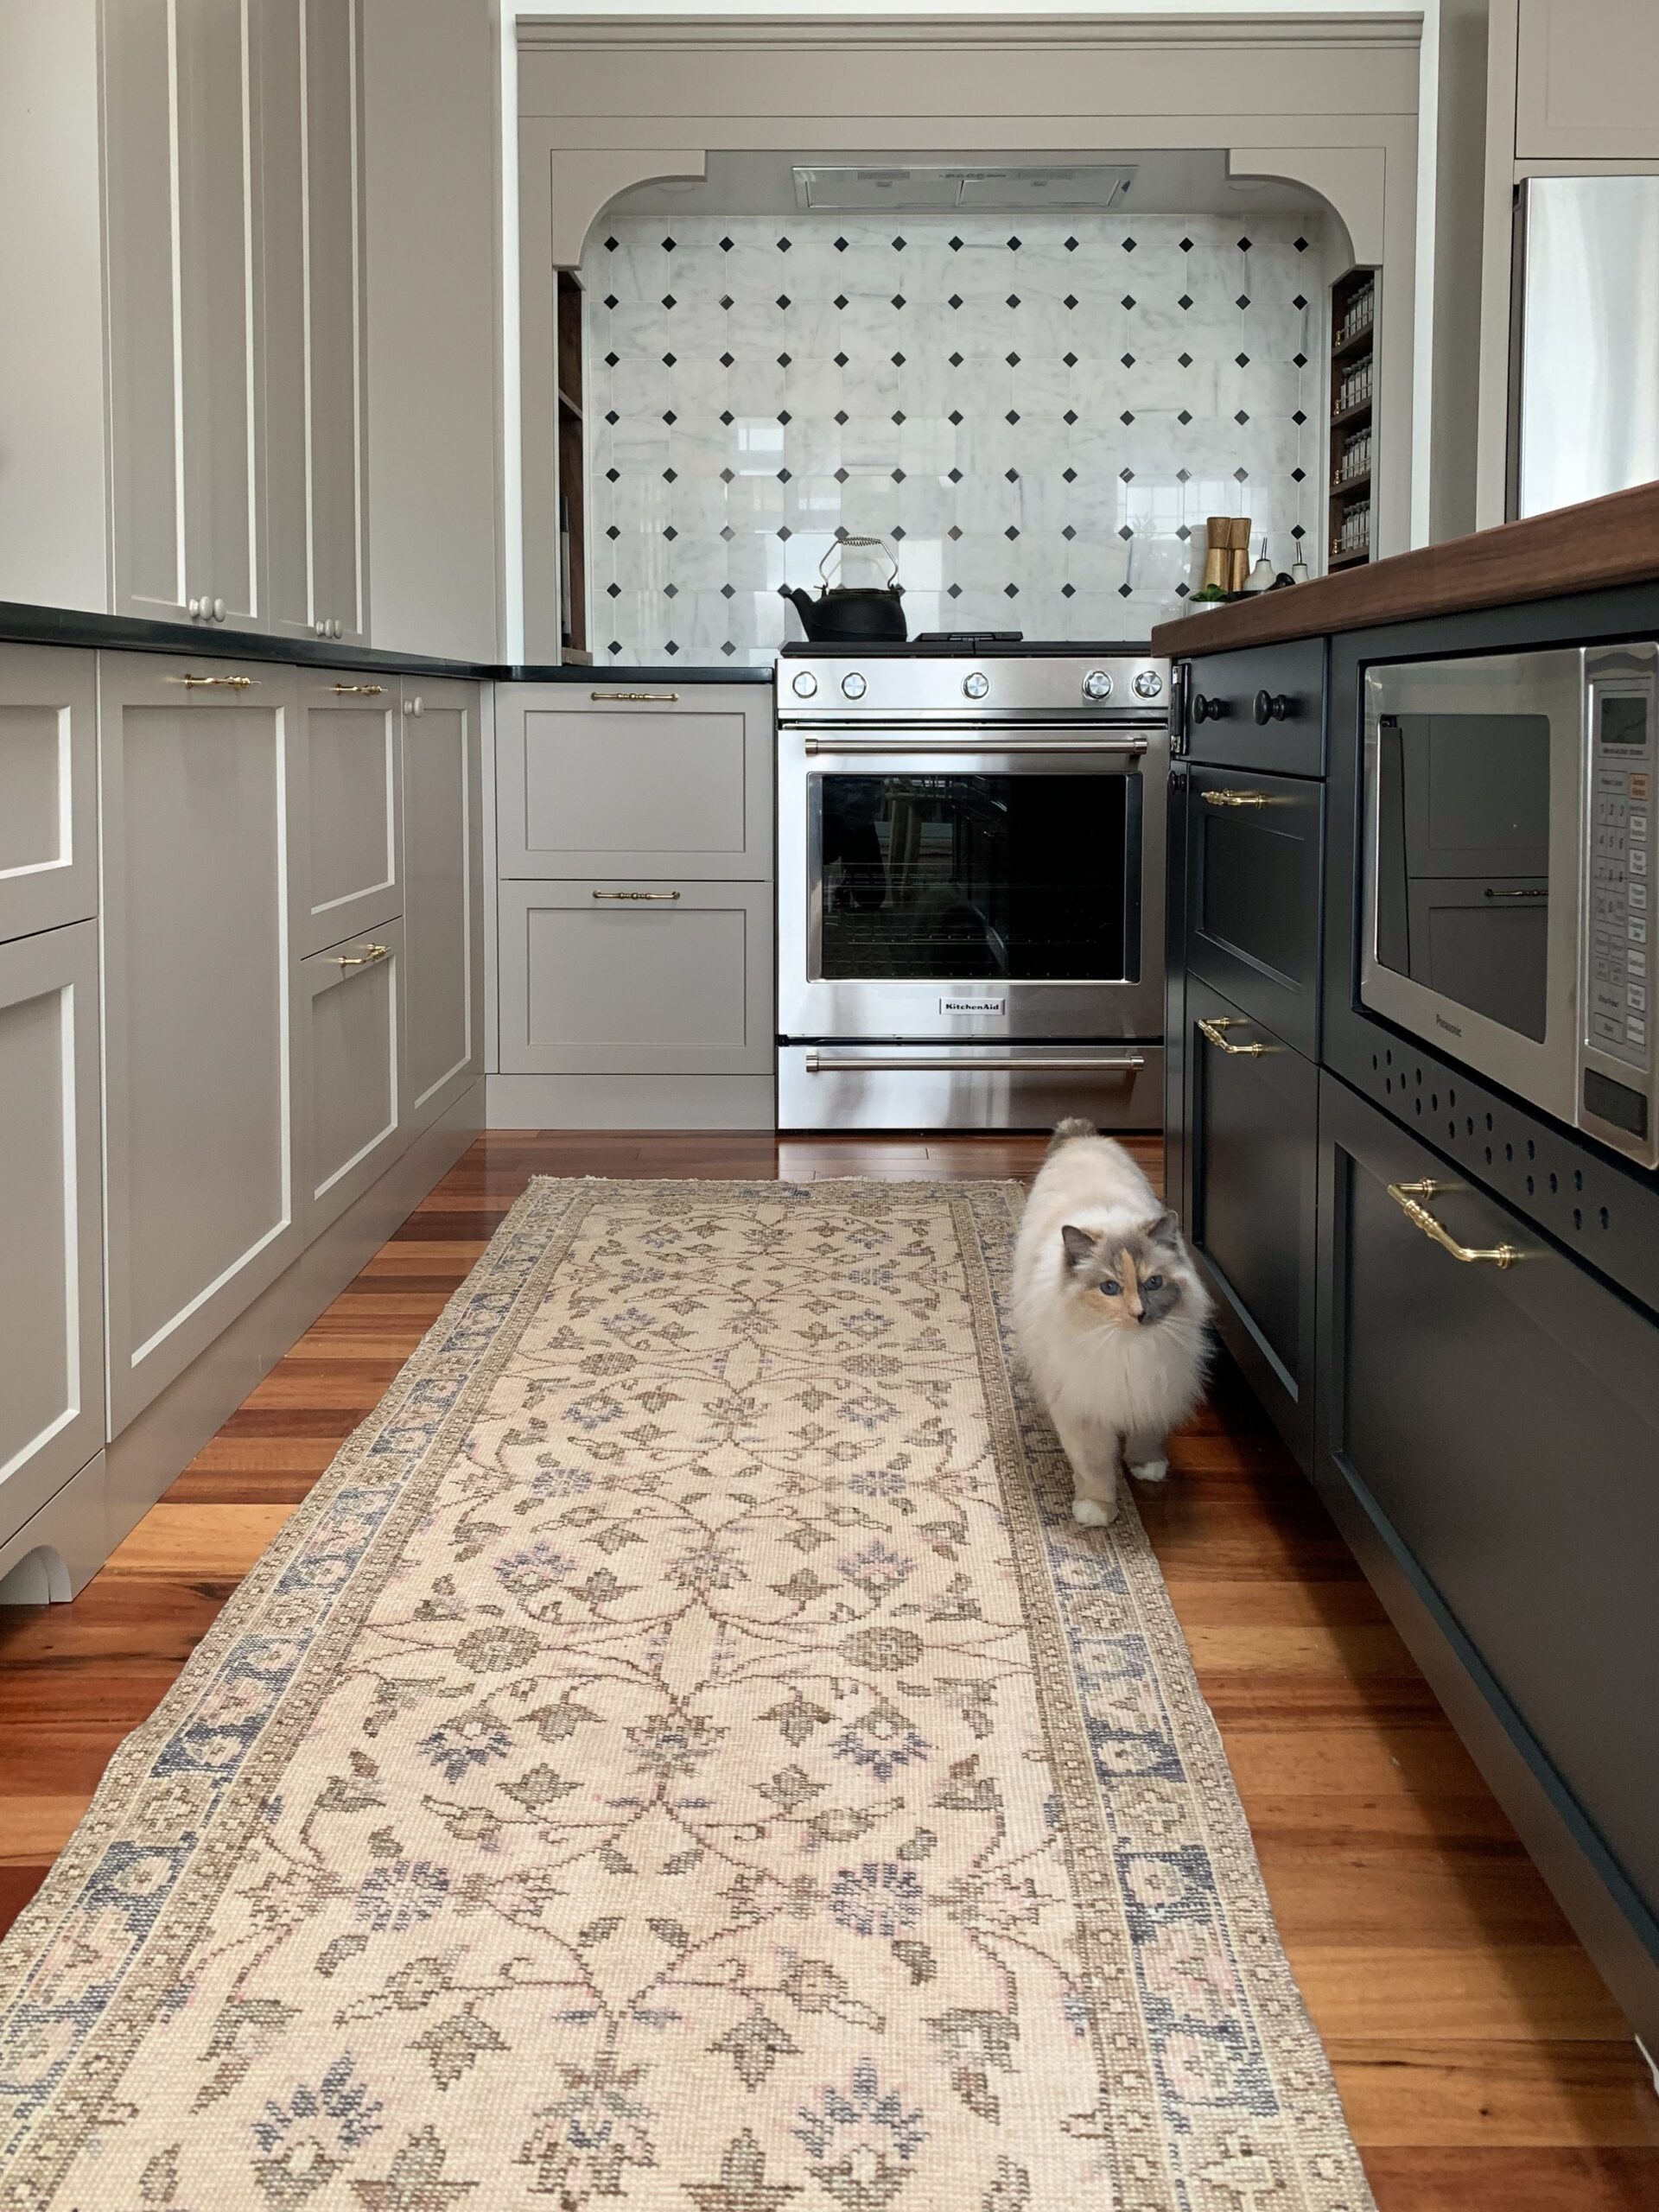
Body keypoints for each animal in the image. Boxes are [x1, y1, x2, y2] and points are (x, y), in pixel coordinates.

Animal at [1008, 1123, 1211, 1522]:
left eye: (1153, 1283)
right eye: (1110, 1288)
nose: (1138, 1313)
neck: (1126, 1349)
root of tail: (1082, 1137)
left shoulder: (1152, 1392)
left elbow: (1145, 1438)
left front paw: (1147, 1468)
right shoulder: (1083, 1409)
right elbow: (1094, 1467)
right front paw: (1097, 1512)